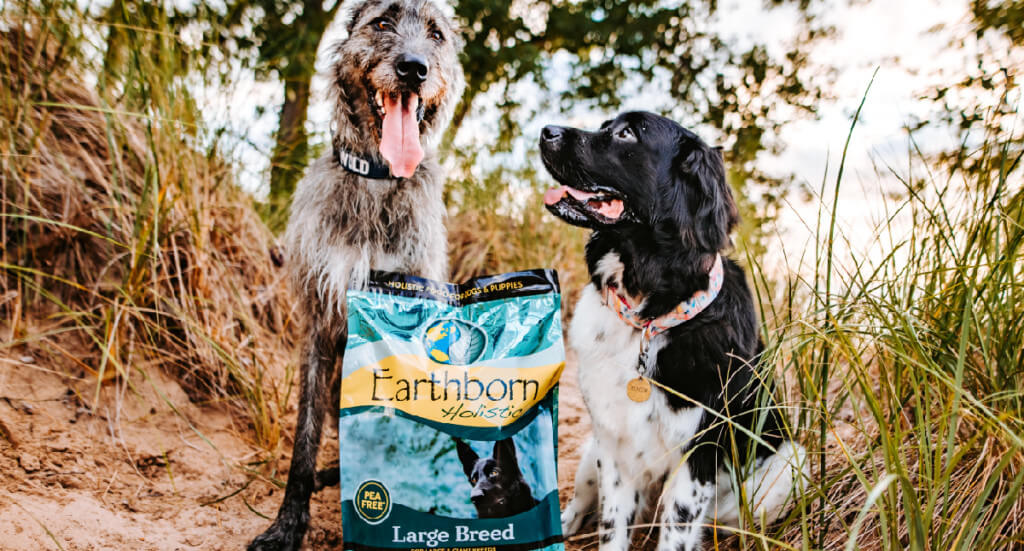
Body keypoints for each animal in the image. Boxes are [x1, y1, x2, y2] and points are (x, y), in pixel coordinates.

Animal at [249, 2, 462, 544]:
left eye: (436, 34)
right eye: (382, 23)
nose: (414, 68)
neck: (380, 178)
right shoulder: (320, 317)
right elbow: (304, 436)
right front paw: (288, 524)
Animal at [544, 112, 806, 548]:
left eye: (627, 133)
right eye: (606, 123)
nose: (546, 131)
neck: (649, 319)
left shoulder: (698, 455)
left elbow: (677, 530)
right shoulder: (615, 446)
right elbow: (611, 527)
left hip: (787, 469)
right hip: (590, 453)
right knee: (580, 504)